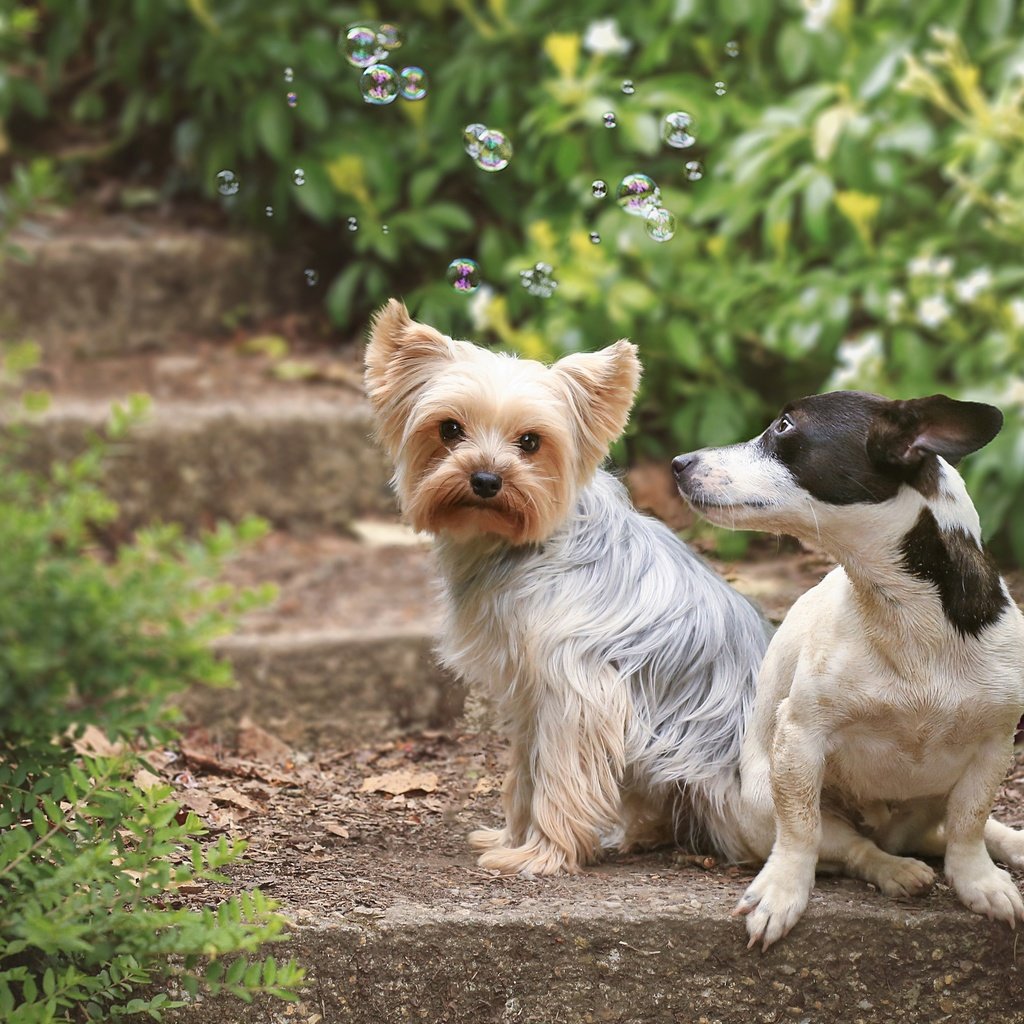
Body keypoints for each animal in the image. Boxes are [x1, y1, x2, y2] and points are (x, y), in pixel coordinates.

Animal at [366, 299, 770, 876]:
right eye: (449, 429)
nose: (485, 480)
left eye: (531, 442)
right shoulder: (530, 693)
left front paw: (540, 854)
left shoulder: (578, 691)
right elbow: (524, 773)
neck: (527, 544)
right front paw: (511, 838)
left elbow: (559, 777)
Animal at [671, 391, 1024, 950]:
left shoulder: (993, 747)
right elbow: (801, 831)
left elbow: (970, 825)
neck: (904, 612)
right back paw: (896, 870)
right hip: (760, 804)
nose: (679, 463)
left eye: (784, 426)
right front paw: (781, 892)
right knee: (852, 847)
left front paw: (979, 882)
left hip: (929, 803)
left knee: (945, 831)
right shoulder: (800, 739)